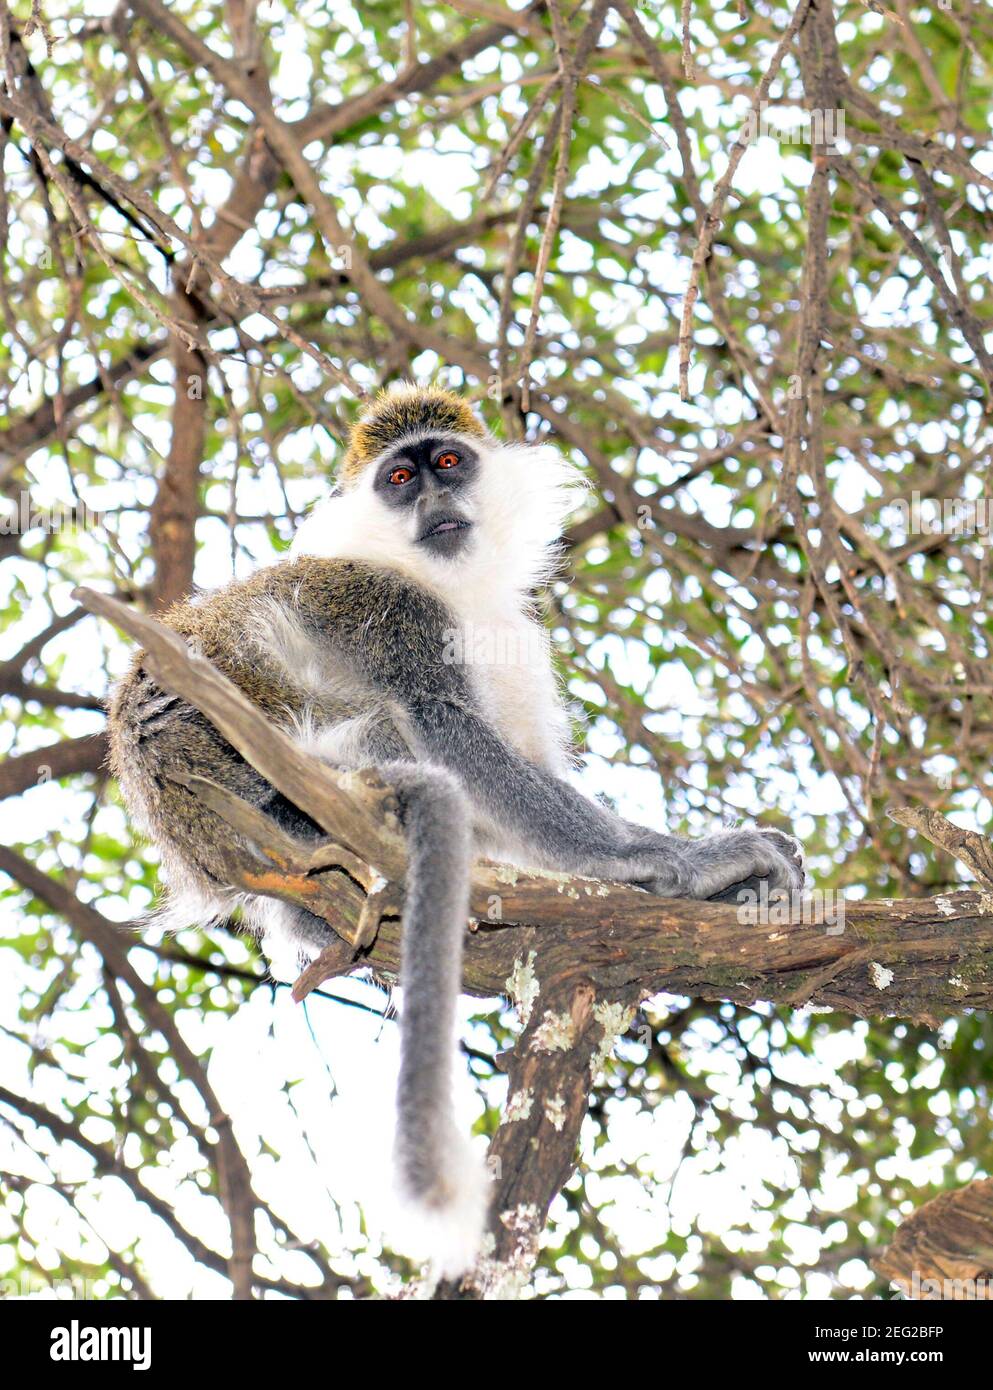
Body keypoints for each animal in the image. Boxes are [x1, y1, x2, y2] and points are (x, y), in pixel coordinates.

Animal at [108, 386, 806, 1273]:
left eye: (446, 462)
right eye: (399, 478)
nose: (432, 501)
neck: (446, 584)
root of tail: (186, 820)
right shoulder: (386, 610)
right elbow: (452, 732)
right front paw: (682, 860)